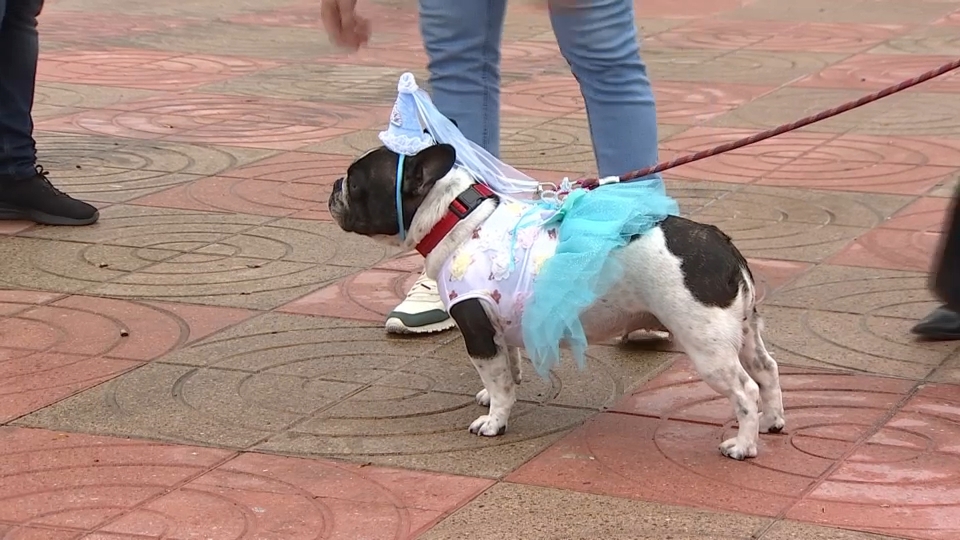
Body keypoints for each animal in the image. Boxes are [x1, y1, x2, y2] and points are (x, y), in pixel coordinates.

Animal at [330, 142, 788, 460]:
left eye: (355, 182)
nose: (334, 185)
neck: (456, 216)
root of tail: (722, 243)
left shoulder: (476, 327)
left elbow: (495, 377)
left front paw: (494, 421)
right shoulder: (498, 325)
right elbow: (506, 369)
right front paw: (496, 395)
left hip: (707, 343)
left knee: (745, 390)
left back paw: (743, 445)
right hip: (743, 332)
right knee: (766, 371)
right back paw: (772, 420)